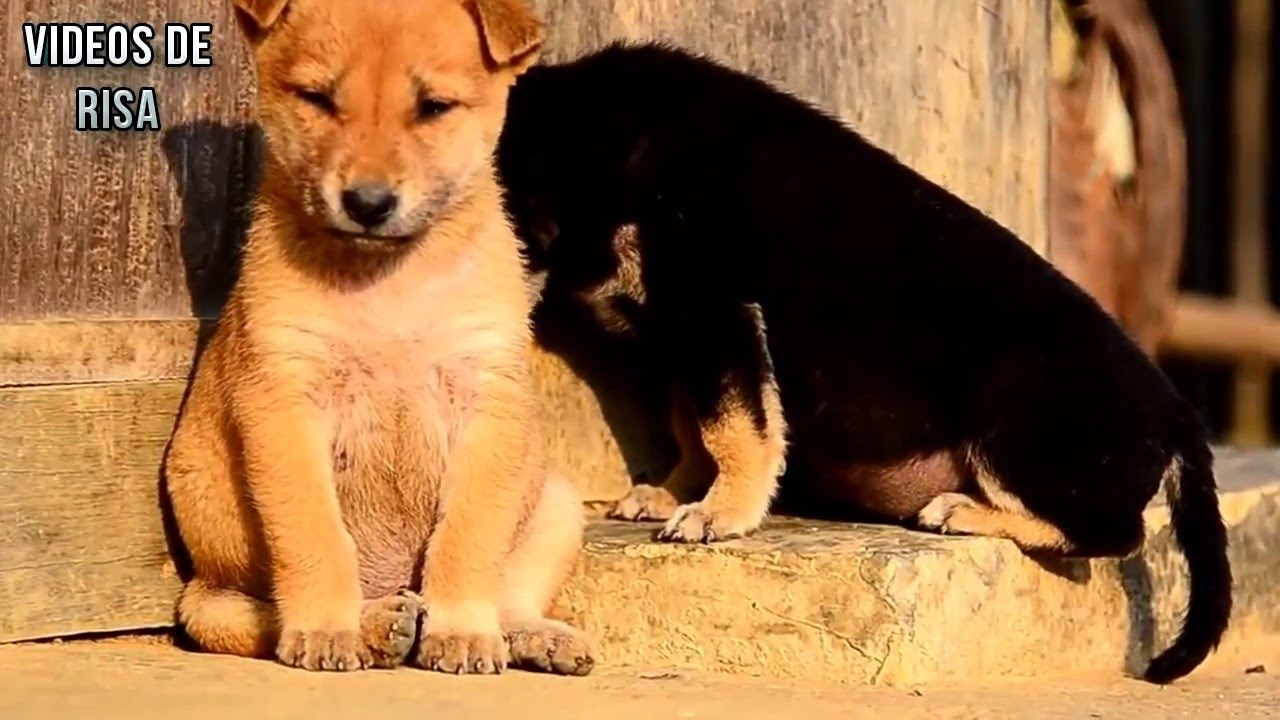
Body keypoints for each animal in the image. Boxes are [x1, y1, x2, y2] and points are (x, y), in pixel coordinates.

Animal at [163, 0, 593, 671]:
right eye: (316, 98)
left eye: (434, 107)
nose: (367, 202)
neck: (390, 284)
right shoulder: (284, 403)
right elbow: (314, 532)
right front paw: (325, 628)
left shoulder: (487, 401)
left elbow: (468, 536)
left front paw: (462, 630)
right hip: (210, 597)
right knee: (250, 617)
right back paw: (374, 623)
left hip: (558, 505)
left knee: (511, 592)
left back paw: (530, 635)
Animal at [496, 41, 1228, 681]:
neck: (585, 140)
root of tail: (1176, 413)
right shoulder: (680, 333)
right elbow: (697, 427)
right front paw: (675, 493)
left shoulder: (713, 307)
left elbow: (735, 427)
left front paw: (721, 514)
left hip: (1013, 404)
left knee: (1114, 530)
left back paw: (964, 511)